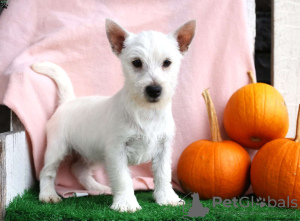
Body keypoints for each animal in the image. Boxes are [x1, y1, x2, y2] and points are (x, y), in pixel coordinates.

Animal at [32, 18, 196, 212]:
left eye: (167, 62)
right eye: (137, 63)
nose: (154, 90)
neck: (146, 111)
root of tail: (67, 101)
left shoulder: (163, 148)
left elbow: (163, 174)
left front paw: (167, 198)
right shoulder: (117, 150)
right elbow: (122, 178)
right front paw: (126, 203)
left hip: (94, 151)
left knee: (79, 169)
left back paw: (99, 188)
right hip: (57, 148)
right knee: (47, 171)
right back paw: (48, 195)